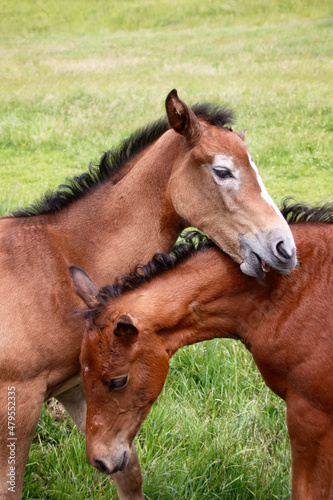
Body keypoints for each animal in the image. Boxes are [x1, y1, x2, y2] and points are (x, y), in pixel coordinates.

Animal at [0, 91, 296, 500]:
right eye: (223, 171)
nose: (285, 248)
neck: (59, 260)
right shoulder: (19, 398)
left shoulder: (82, 385)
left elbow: (126, 470)